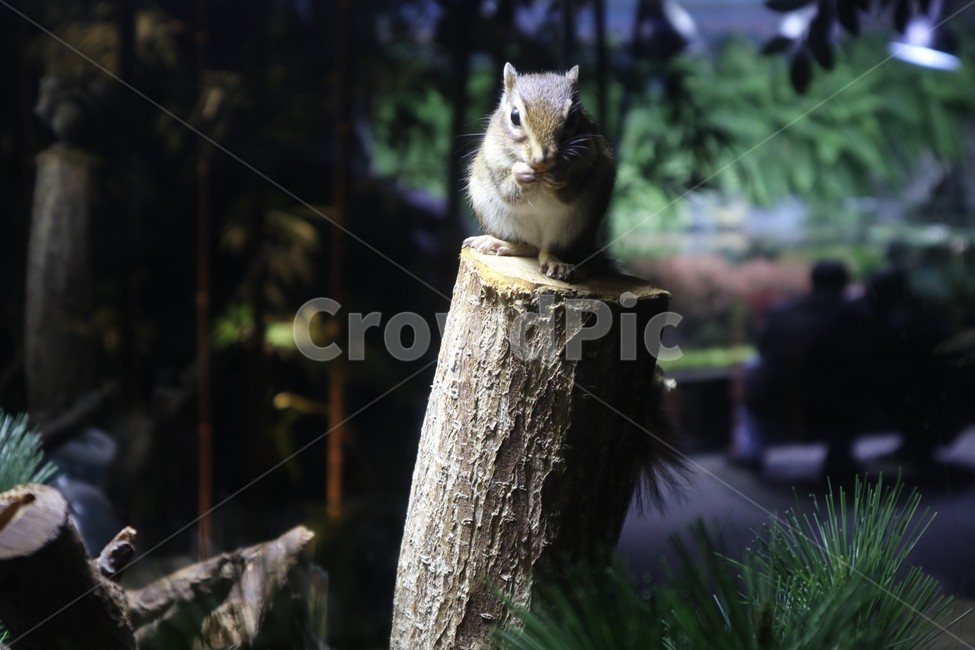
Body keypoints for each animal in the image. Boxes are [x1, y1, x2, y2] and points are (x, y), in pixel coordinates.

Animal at [463, 63, 616, 282]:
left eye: (573, 118)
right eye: (514, 116)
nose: (543, 159)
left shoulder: (590, 158)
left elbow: (571, 189)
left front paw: (559, 176)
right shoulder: (493, 159)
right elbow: (506, 190)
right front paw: (521, 174)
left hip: (573, 226)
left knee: (547, 250)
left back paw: (557, 263)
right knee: (529, 248)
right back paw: (497, 243)